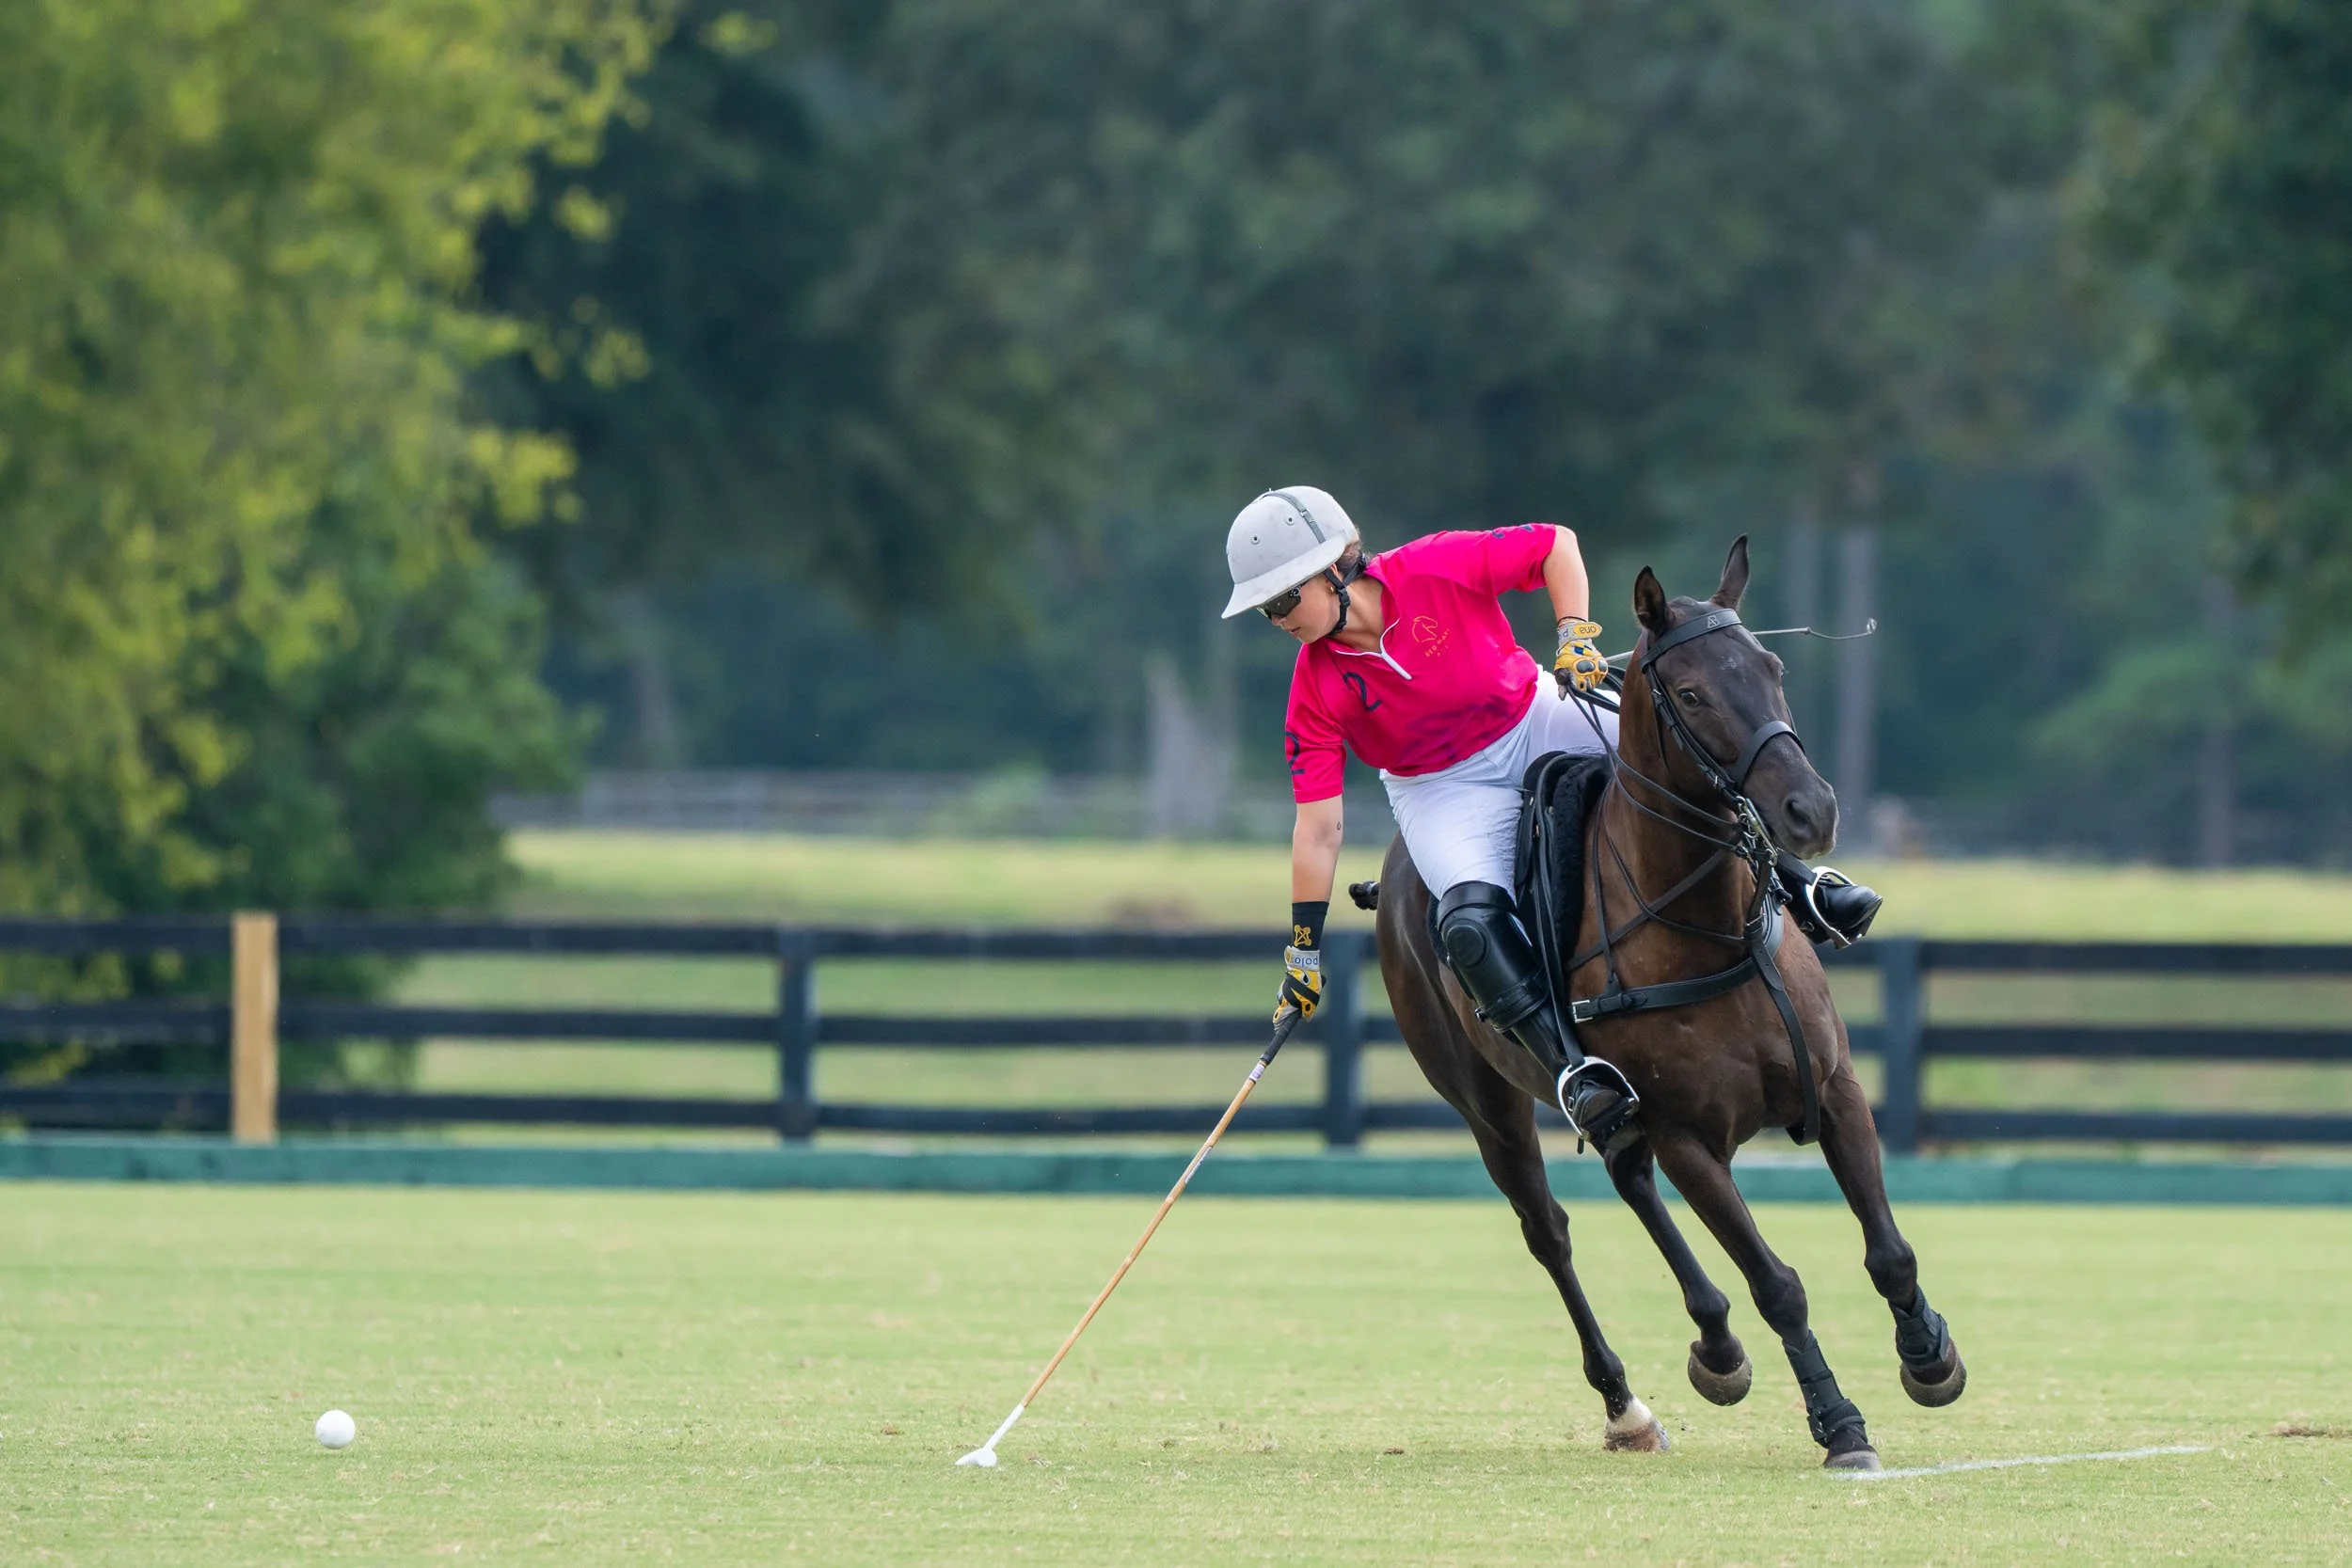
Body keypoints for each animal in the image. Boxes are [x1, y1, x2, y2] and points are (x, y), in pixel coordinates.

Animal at [1372, 537, 1965, 1470]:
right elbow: (1778, 1284)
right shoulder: (1690, 1134)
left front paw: (1929, 1354)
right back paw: (1626, 1403)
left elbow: (1890, 1251)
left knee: (1627, 1174)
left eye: (1773, 666)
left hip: (1614, 1107)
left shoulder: (1835, 1089)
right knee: (1549, 1229)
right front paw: (1841, 1426)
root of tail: (1391, 874)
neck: (1706, 930)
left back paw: (1715, 1348)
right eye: (1690, 693)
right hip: (1487, 1102)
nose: (1811, 810)